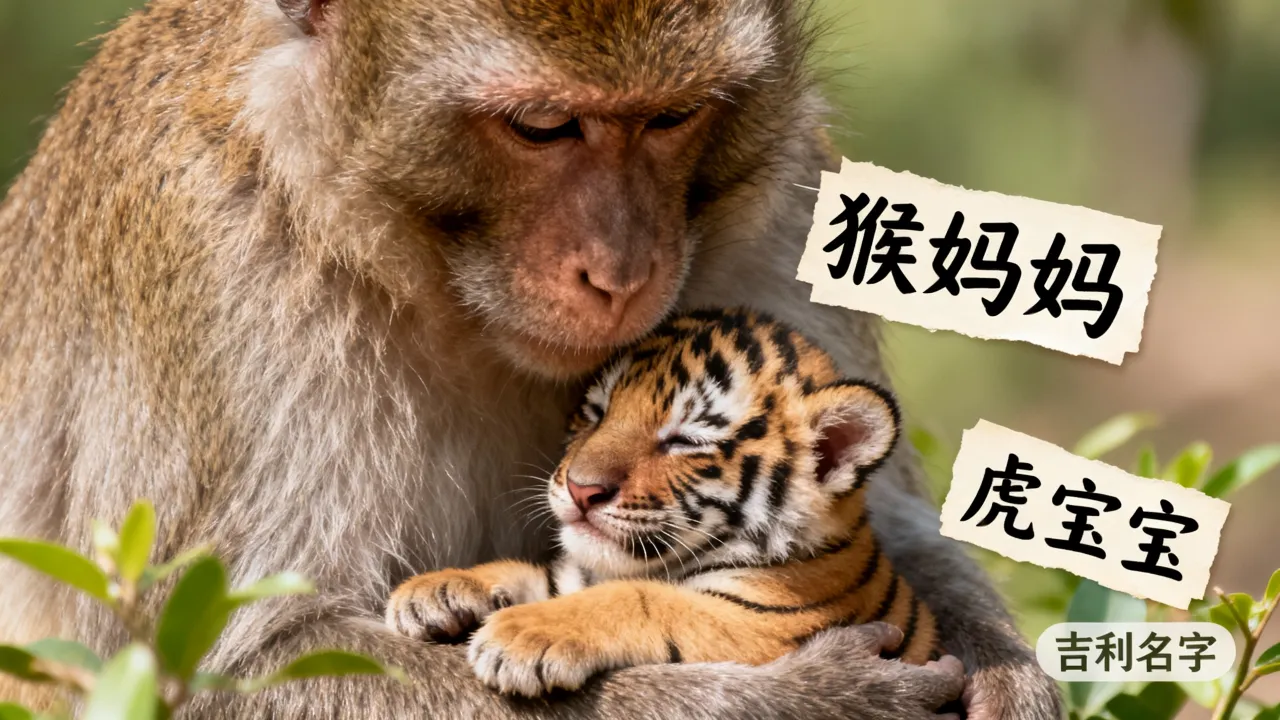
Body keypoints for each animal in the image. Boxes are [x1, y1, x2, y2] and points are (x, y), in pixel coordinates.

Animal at [385, 307, 944, 697]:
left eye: (683, 441)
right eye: (597, 412)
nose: (581, 488)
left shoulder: (762, 622)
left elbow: (642, 599)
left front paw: (523, 634)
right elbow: (533, 574)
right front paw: (437, 591)